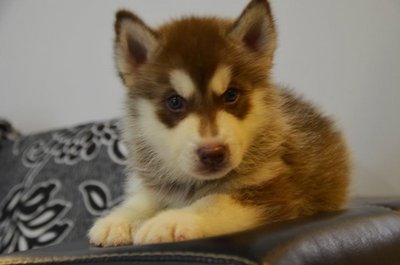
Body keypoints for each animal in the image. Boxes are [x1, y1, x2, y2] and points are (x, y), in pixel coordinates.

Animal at [88, 0, 350, 245]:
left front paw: (172, 220)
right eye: (174, 101)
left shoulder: (273, 191)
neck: (195, 184)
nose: (213, 153)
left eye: (231, 95)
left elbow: (215, 201)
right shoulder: (159, 181)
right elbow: (144, 198)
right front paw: (118, 219)